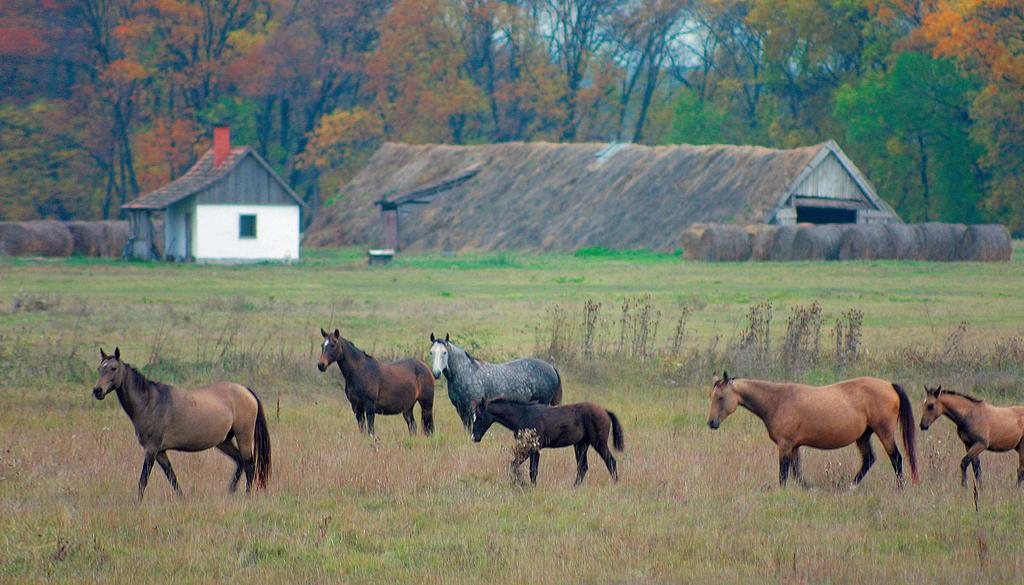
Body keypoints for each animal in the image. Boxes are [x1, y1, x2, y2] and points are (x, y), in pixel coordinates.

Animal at [92, 348, 272, 499]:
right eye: (100, 369)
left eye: (113, 368)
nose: (97, 391)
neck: (150, 402)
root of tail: (246, 390)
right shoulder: (160, 452)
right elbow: (171, 477)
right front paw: (182, 499)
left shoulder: (151, 450)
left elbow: (143, 479)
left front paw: (138, 502)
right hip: (224, 441)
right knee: (240, 461)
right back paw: (230, 492)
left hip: (244, 437)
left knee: (249, 465)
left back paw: (247, 496)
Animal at [428, 331, 565, 432]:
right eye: (431, 352)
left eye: (444, 352)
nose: (436, 373)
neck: (466, 372)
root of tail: (551, 367)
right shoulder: (460, 409)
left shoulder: (472, 407)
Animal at [471, 397, 622, 485]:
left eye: (479, 416)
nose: (474, 437)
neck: (523, 415)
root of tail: (605, 411)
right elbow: (514, 466)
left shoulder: (533, 449)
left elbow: (531, 470)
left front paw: (529, 487)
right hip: (581, 445)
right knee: (583, 467)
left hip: (598, 443)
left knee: (611, 461)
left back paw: (615, 484)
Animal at [708, 372, 917, 487]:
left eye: (720, 397)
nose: (711, 423)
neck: (777, 401)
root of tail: (889, 385)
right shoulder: (794, 446)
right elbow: (796, 472)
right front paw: (809, 488)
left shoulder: (785, 445)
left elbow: (784, 473)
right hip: (863, 436)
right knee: (868, 460)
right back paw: (850, 486)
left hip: (884, 432)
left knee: (896, 459)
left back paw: (900, 488)